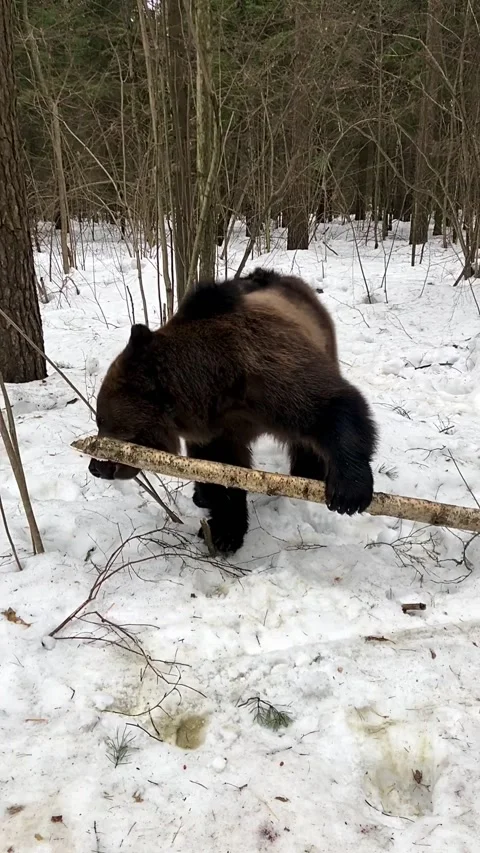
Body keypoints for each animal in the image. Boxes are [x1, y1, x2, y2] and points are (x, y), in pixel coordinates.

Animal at [89, 268, 377, 553]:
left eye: (102, 419)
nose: (95, 467)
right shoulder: (221, 430)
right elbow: (223, 474)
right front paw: (224, 532)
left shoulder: (271, 377)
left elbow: (332, 405)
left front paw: (349, 492)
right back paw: (201, 496)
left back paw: (307, 472)